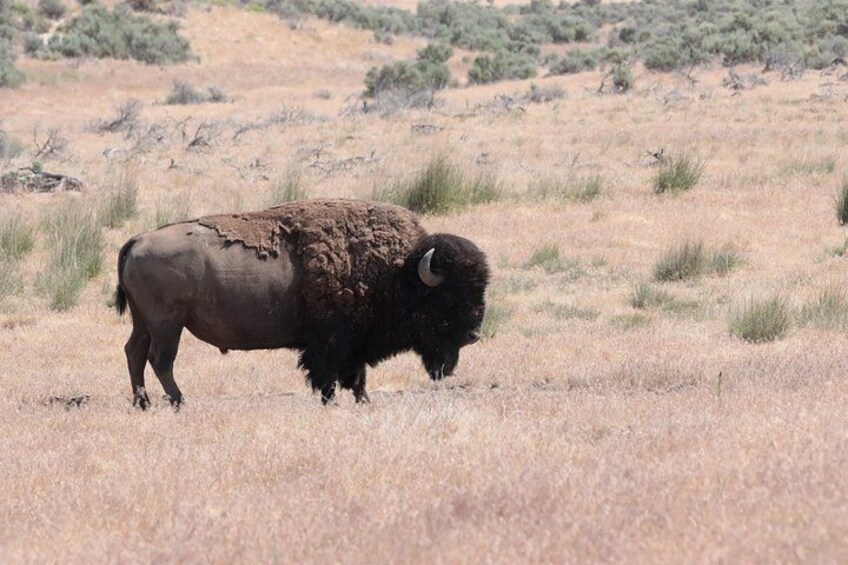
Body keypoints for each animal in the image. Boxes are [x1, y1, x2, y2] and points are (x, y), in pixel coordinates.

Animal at [115, 199, 489, 407]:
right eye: (447, 296)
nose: (473, 335)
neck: (398, 270)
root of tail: (138, 240)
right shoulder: (331, 342)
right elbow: (329, 375)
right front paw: (332, 402)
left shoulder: (354, 344)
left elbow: (358, 375)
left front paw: (363, 400)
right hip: (168, 324)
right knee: (160, 359)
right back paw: (179, 401)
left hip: (144, 321)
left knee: (134, 352)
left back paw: (143, 403)